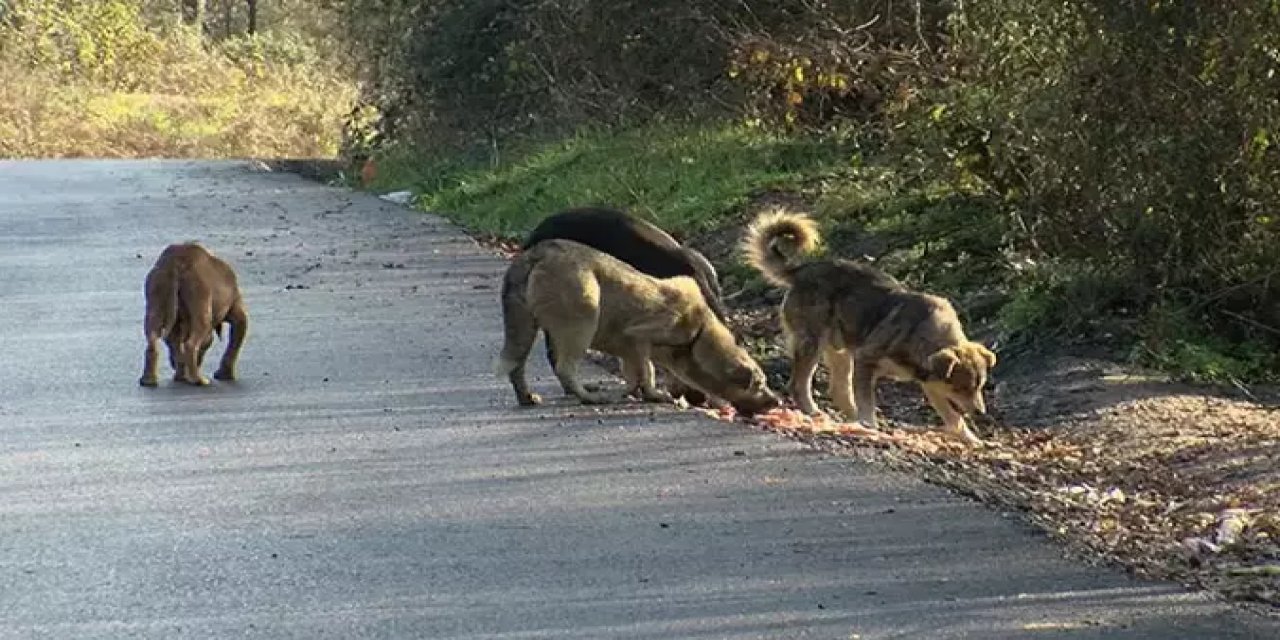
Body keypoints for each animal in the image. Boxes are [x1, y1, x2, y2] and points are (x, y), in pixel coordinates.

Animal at [140, 241, 249, 386]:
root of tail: (176, 263)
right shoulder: (234, 304)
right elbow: (238, 333)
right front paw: (225, 375)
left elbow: (175, 341)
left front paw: (181, 375)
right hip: (200, 292)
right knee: (192, 342)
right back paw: (199, 380)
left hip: (157, 288)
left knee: (152, 336)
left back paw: (148, 380)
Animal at [494, 240, 778, 414]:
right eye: (759, 385)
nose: (777, 401)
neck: (698, 334)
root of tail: (536, 253)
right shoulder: (640, 336)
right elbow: (647, 370)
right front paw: (653, 393)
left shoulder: (630, 349)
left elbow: (638, 371)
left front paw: (634, 392)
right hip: (582, 318)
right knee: (565, 367)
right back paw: (588, 397)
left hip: (525, 325)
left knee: (517, 366)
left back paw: (526, 397)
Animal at [742, 209, 998, 445]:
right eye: (961, 388)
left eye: (979, 386)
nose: (981, 413)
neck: (921, 334)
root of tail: (801, 271)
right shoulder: (866, 359)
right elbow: (867, 401)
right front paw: (871, 425)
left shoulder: (931, 383)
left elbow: (954, 418)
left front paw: (972, 440)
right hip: (812, 343)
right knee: (799, 384)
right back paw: (819, 414)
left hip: (840, 350)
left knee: (839, 390)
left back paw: (853, 422)